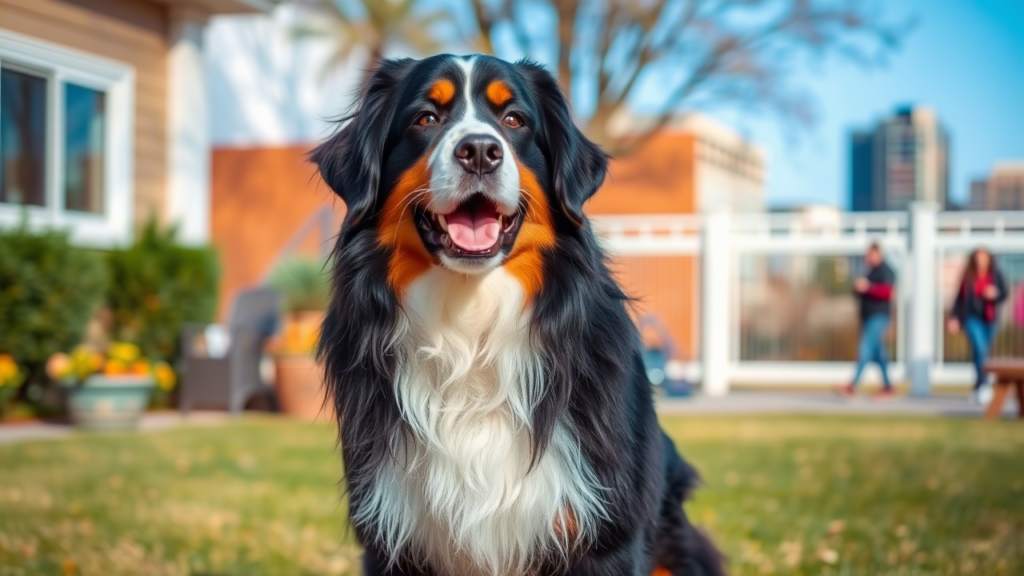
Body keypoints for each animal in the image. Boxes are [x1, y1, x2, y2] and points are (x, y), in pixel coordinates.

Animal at [315, 53, 724, 573]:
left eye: (514, 121)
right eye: (425, 118)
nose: (479, 151)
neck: (471, 325)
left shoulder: (604, 534)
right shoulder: (395, 536)